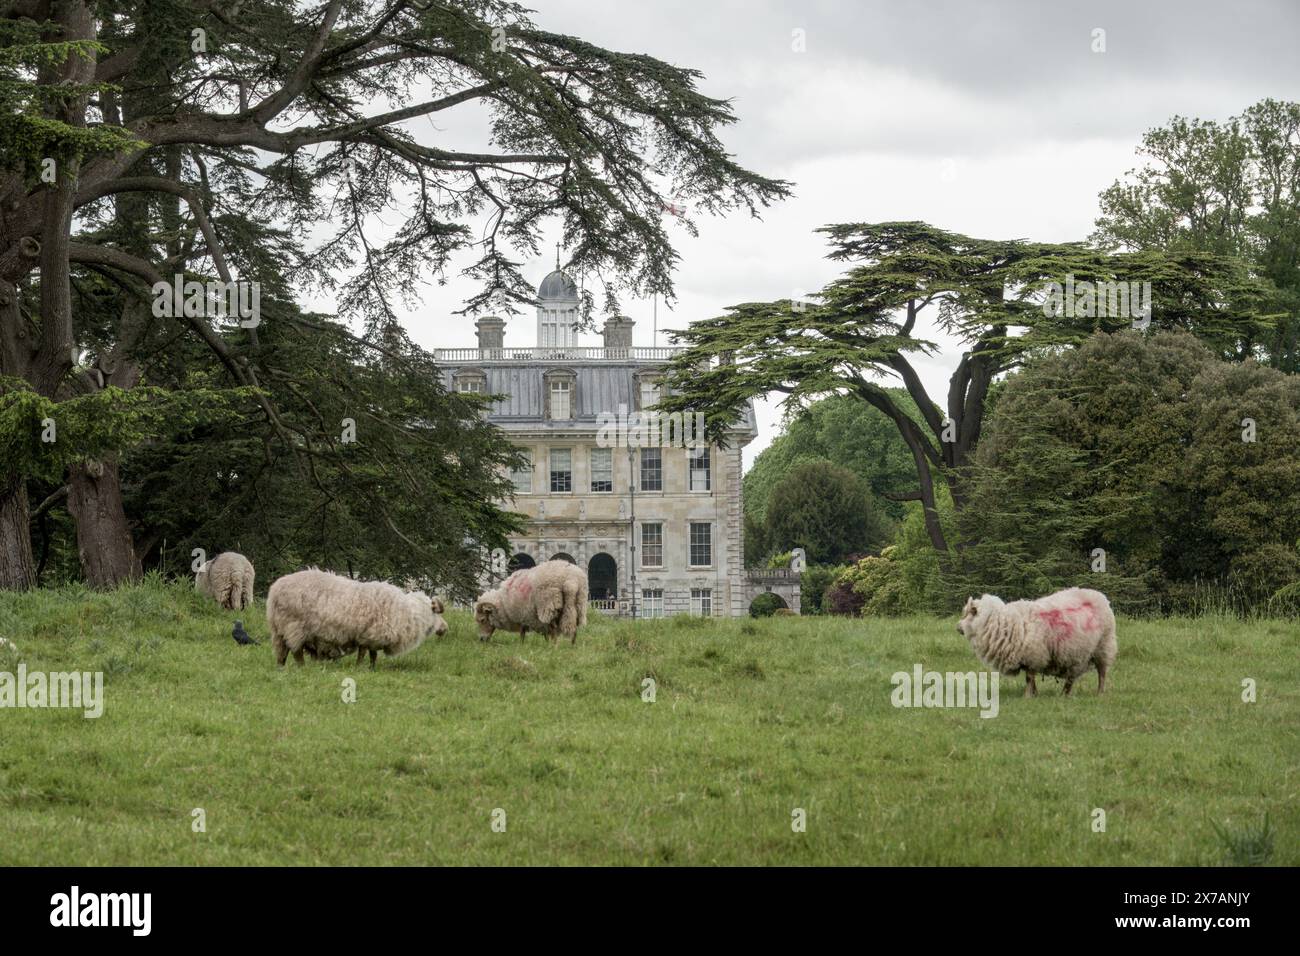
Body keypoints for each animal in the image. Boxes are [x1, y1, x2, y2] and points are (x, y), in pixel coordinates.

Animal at [266, 572, 449, 671]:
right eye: (435, 614)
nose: (445, 628)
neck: (409, 613)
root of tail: (275, 590)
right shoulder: (369, 635)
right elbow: (365, 654)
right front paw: (362, 667)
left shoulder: (371, 637)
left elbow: (372, 654)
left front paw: (371, 668)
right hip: (294, 627)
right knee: (296, 651)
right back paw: (302, 668)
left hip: (279, 630)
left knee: (282, 653)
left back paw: (281, 668)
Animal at [956, 582, 1118, 697]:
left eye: (970, 613)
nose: (957, 627)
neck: (1003, 622)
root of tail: (1100, 595)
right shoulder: (1028, 658)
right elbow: (1031, 679)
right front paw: (1035, 695)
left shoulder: (1033, 655)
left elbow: (1029, 678)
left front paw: (1027, 696)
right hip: (1077, 654)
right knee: (1071, 677)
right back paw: (1064, 695)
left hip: (1103, 646)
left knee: (1102, 673)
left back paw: (1099, 693)